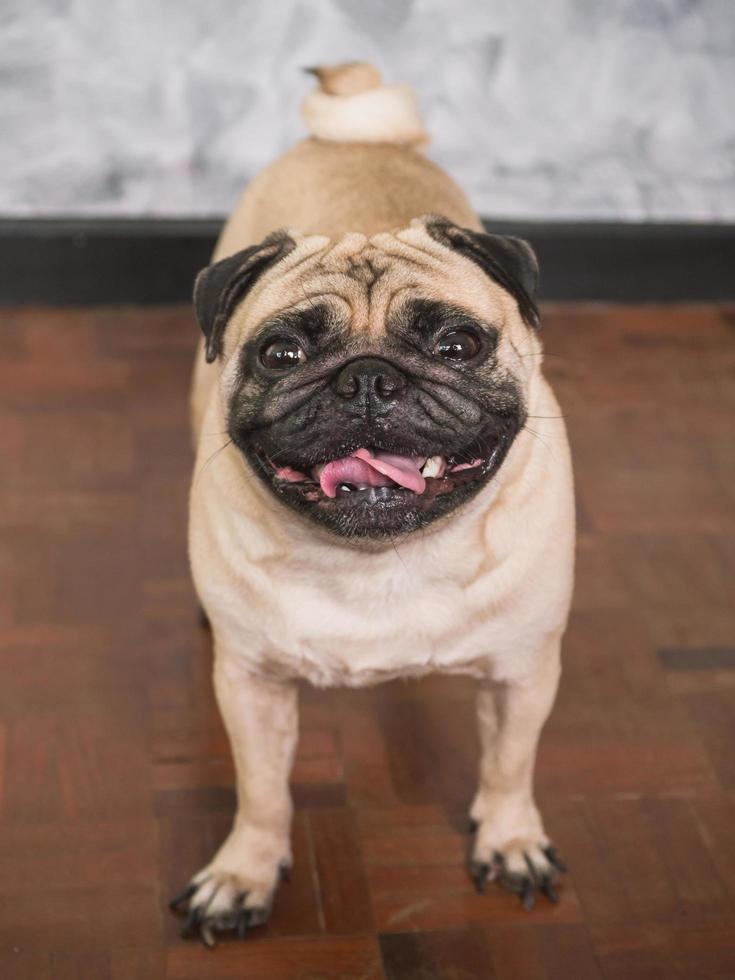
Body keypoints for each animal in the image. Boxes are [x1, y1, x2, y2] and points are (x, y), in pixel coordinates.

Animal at [171, 63, 576, 948]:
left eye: (457, 345)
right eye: (282, 352)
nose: (365, 378)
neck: (379, 559)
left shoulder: (522, 674)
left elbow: (510, 764)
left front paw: (509, 839)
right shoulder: (252, 686)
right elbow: (261, 792)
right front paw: (243, 874)